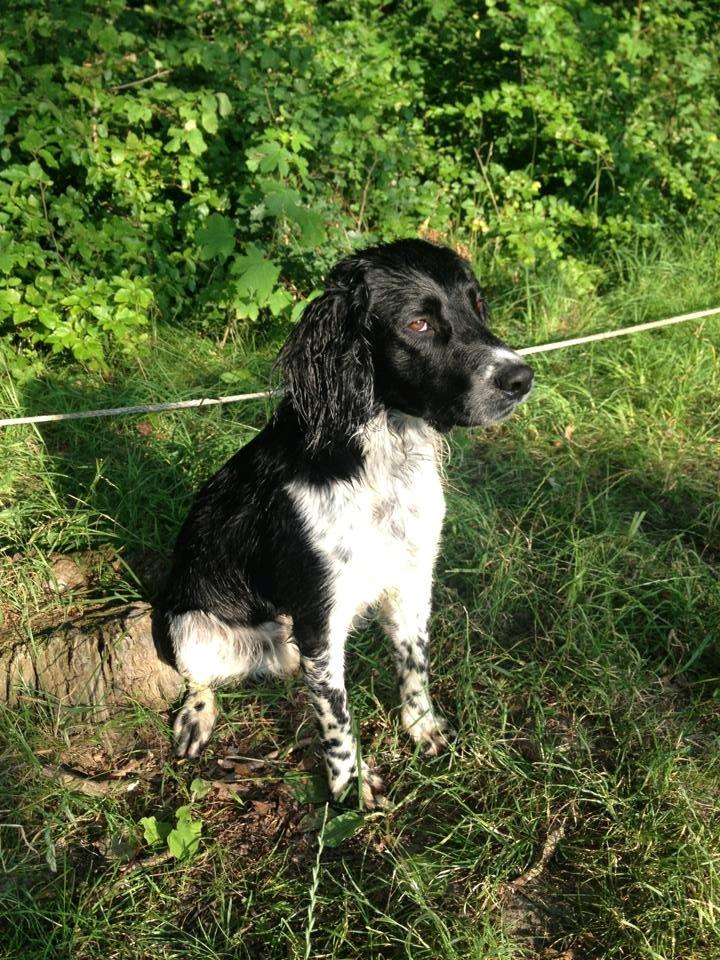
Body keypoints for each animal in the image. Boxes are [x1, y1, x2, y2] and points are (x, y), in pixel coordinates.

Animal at [155, 238, 532, 804]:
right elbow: (336, 716)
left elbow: (414, 664)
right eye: (419, 324)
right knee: (201, 680)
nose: (522, 378)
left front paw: (422, 728)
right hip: (189, 629)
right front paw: (350, 786)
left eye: (477, 305)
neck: (381, 463)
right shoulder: (319, 617)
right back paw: (196, 718)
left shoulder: (411, 582)